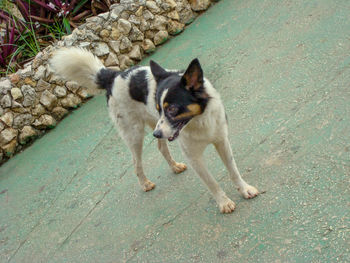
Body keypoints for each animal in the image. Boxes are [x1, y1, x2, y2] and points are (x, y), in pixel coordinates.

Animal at [50, 48, 258, 214]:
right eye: (160, 108)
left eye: (172, 109)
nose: (156, 134)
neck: (198, 120)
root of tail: (114, 76)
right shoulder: (194, 157)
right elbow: (211, 182)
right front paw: (223, 202)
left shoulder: (221, 141)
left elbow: (233, 170)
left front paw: (245, 189)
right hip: (136, 134)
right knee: (136, 163)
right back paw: (145, 184)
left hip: (155, 128)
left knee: (161, 148)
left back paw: (174, 166)